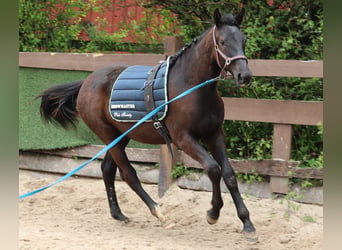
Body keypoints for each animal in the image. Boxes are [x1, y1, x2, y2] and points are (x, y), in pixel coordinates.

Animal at [38, 8, 255, 234]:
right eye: (222, 41)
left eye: (244, 39)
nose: (244, 76)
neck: (190, 87)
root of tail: (86, 83)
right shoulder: (183, 139)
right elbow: (213, 169)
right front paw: (213, 213)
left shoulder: (214, 134)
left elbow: (229, 174)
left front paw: (247, 222)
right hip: (108, 135)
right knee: (128, 174)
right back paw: (159, 213)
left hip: (120, 136)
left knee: (107, 169)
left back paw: (118, 214)